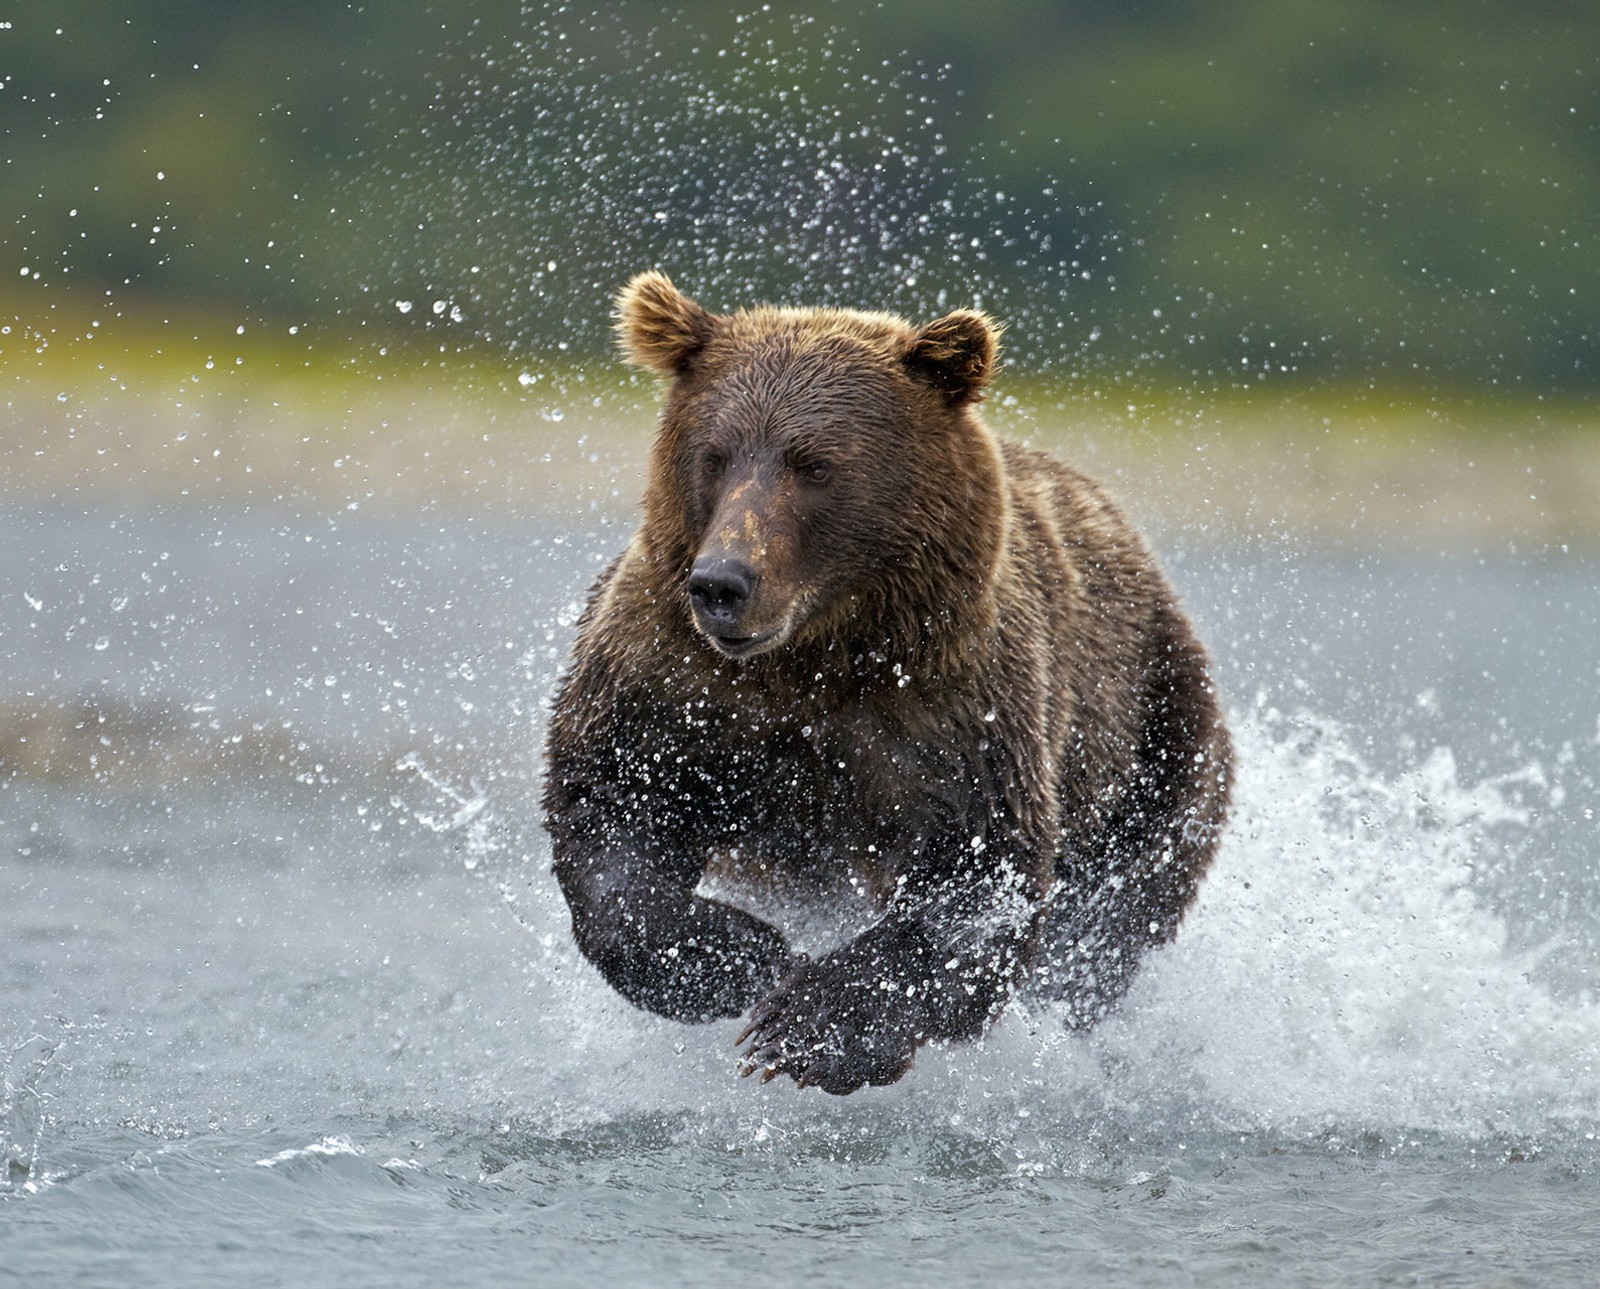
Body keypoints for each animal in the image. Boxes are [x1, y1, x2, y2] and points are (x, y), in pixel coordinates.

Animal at [544, 271, 1228, 1100]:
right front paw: (737, 955)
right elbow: (612, 809)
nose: (722, 583)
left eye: (813, 463)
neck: (820, 652)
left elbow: (976, 881)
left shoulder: (957, 710)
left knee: (1112, 915)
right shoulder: (675, 682)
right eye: (715, 454)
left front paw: (809, 1029)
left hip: (1157, 731)